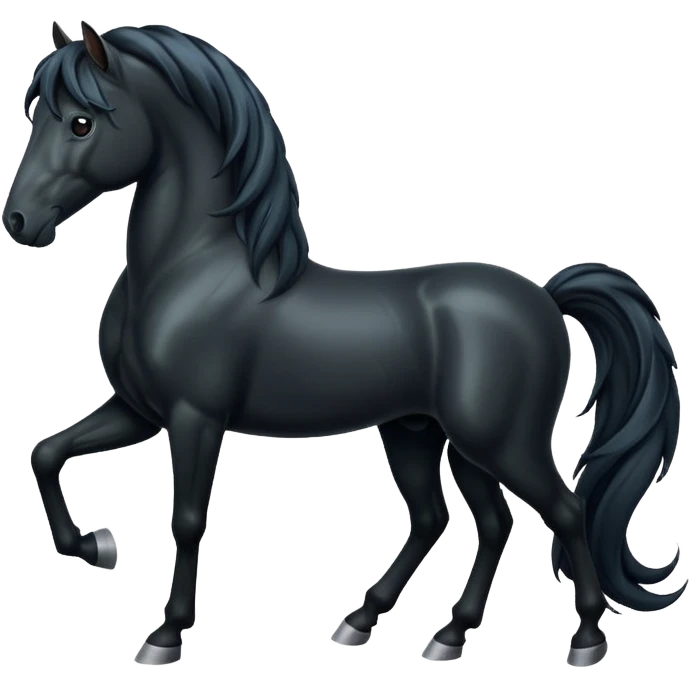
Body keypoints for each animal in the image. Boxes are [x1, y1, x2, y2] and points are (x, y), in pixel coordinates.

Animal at [3, 21, 685, 667]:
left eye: (82, 122)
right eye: (36, 118)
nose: (18, 223)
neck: (186, 269)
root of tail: (545, 297)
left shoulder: (194, 419)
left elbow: (188, 519)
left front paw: (164, 636)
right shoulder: (139, 411)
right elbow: (46, 453)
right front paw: (96, 546)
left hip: (500, 441)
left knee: (561, 510)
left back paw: (584, 641)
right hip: (427, 436)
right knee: (470, 521)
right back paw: (412, 630)